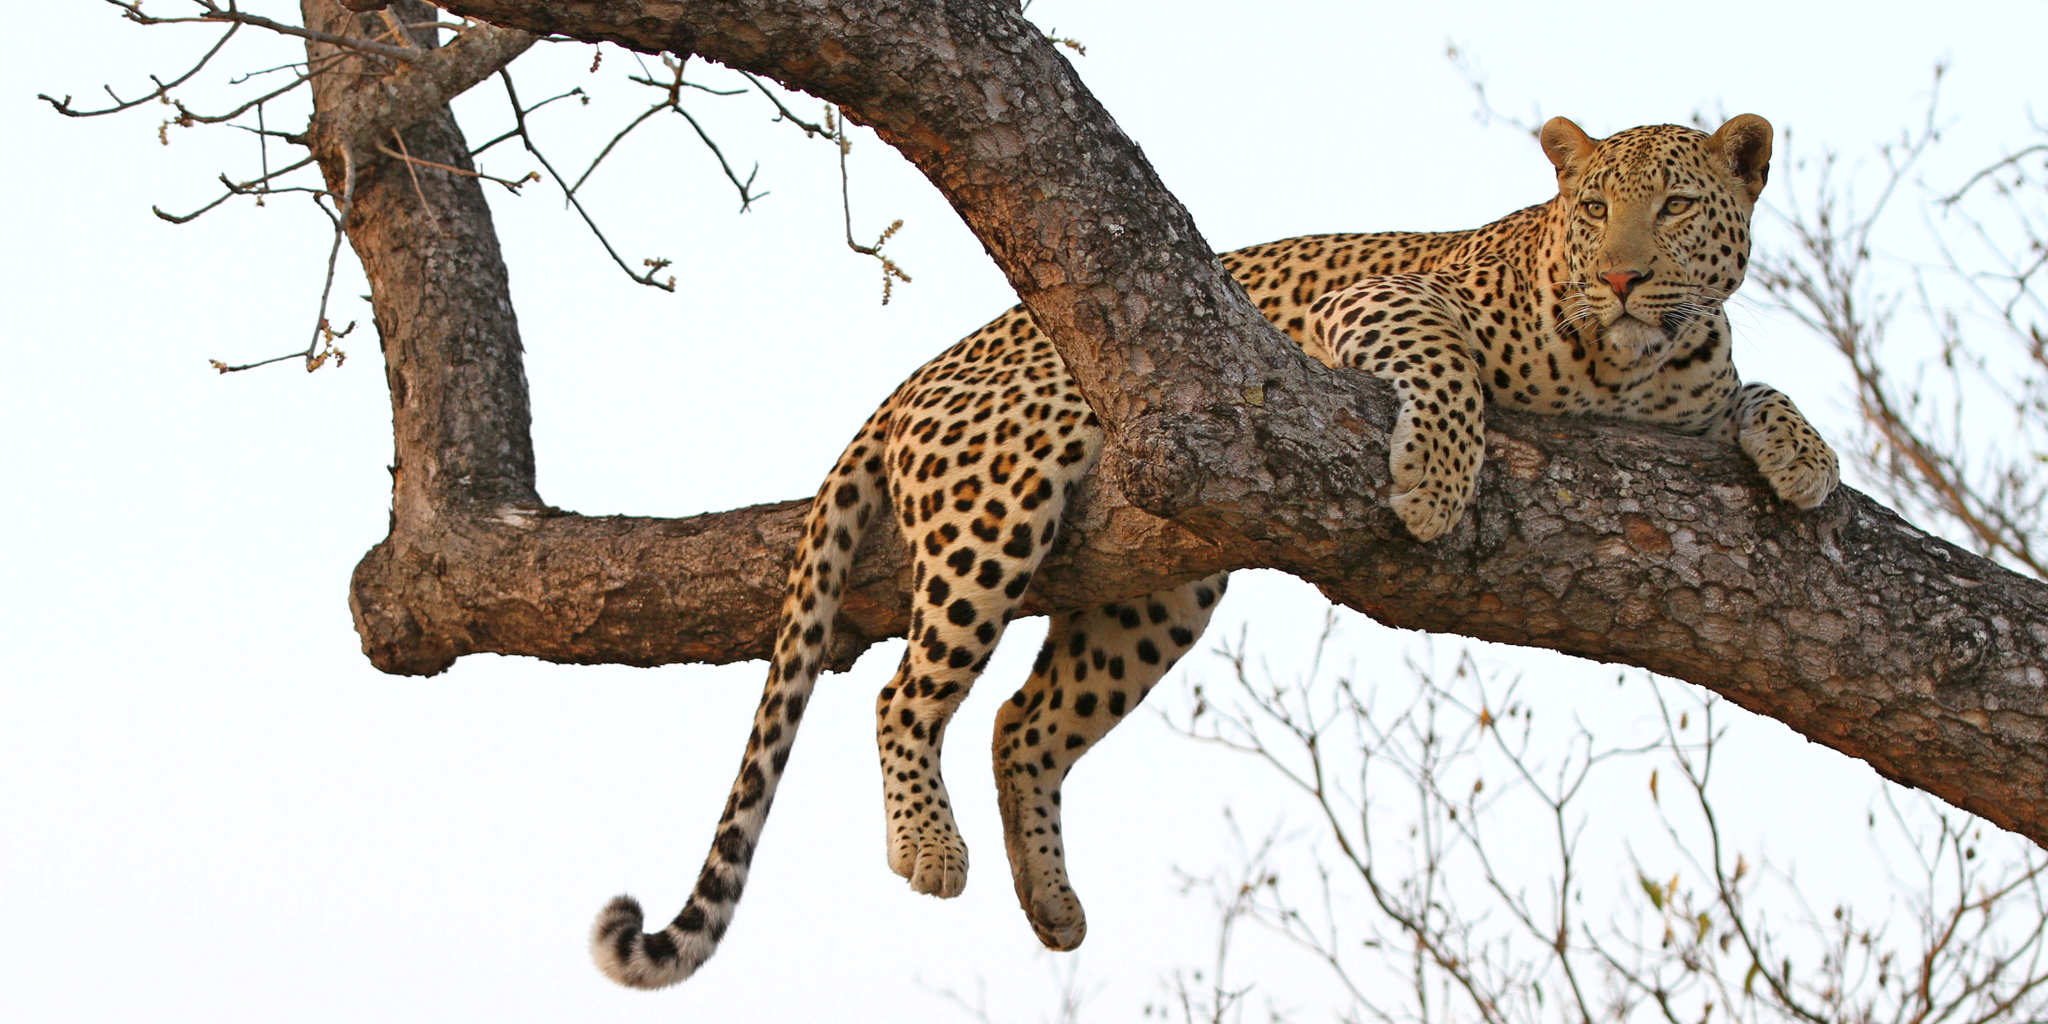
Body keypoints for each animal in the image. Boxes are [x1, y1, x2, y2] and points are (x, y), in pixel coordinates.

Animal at [589, 113, 1839, 989]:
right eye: (1590, 211)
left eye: (1672, 206)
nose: (1620, 275)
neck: (1625, 370)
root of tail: (909, 380)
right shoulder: (1376, 303)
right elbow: (1442, 365)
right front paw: (1435, 480)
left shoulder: (1683, 404)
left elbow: (1752, 390)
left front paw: (1803, 453)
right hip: (1005, 492)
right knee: (906, 694)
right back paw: (931, 849)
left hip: (1160, 591)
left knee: (1020, 723)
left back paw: (1050, 902)